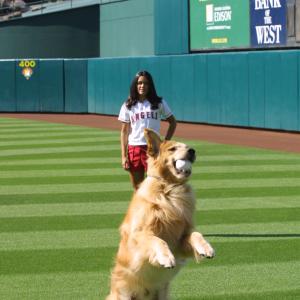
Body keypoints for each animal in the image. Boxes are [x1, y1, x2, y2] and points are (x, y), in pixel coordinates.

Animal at [106, 129, 214, 300]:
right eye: (172, 149)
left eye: (187, 146)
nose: (192, 151)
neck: (170, 188)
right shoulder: (138, 235)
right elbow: (157, 240)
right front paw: (166, 257)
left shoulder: (181, 239)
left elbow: (196, 234)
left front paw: (206, 247)